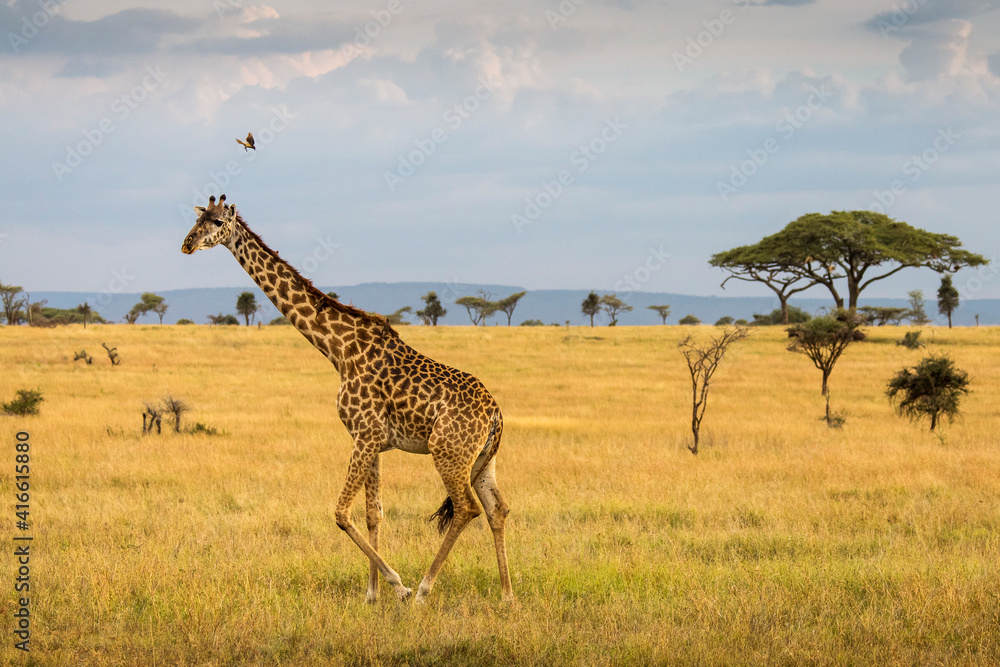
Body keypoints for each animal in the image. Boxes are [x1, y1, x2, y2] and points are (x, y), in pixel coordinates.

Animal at [181, 194, 513, 603]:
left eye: (216, 222)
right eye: (198, 219)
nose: (188, 244)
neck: (339, 350)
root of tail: (496, 415)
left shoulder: (365, 436)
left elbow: (341, 513)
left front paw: (398, 586)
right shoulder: (371, 440)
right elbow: (374, 513)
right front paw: (372, 595)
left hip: (447, 452)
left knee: (467, 508)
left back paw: (423, 589)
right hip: (483, 458)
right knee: (497, 509)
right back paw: (507, 596)